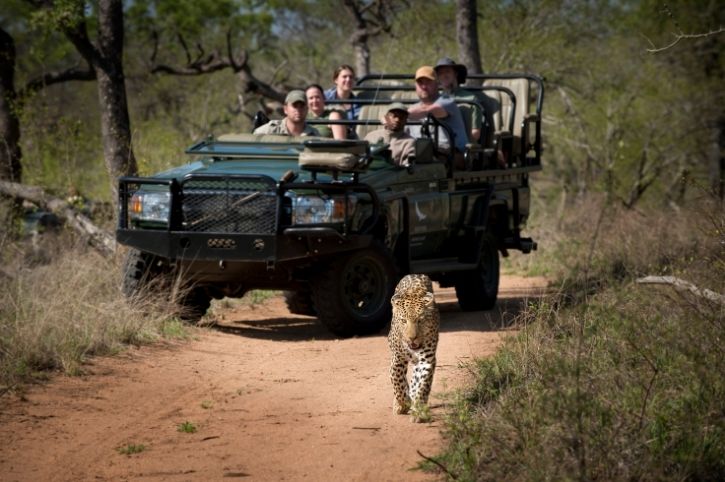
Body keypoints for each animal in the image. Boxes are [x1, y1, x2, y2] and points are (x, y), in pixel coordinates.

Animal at [388, 273, 440, 423]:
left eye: (420, 321)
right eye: (403, 321)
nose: (412, 338)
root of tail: (414, 274)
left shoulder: (426, 360)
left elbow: (421, 385)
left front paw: (418, 411)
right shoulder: (398, 359)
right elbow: (398, 382)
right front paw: (402, 404)